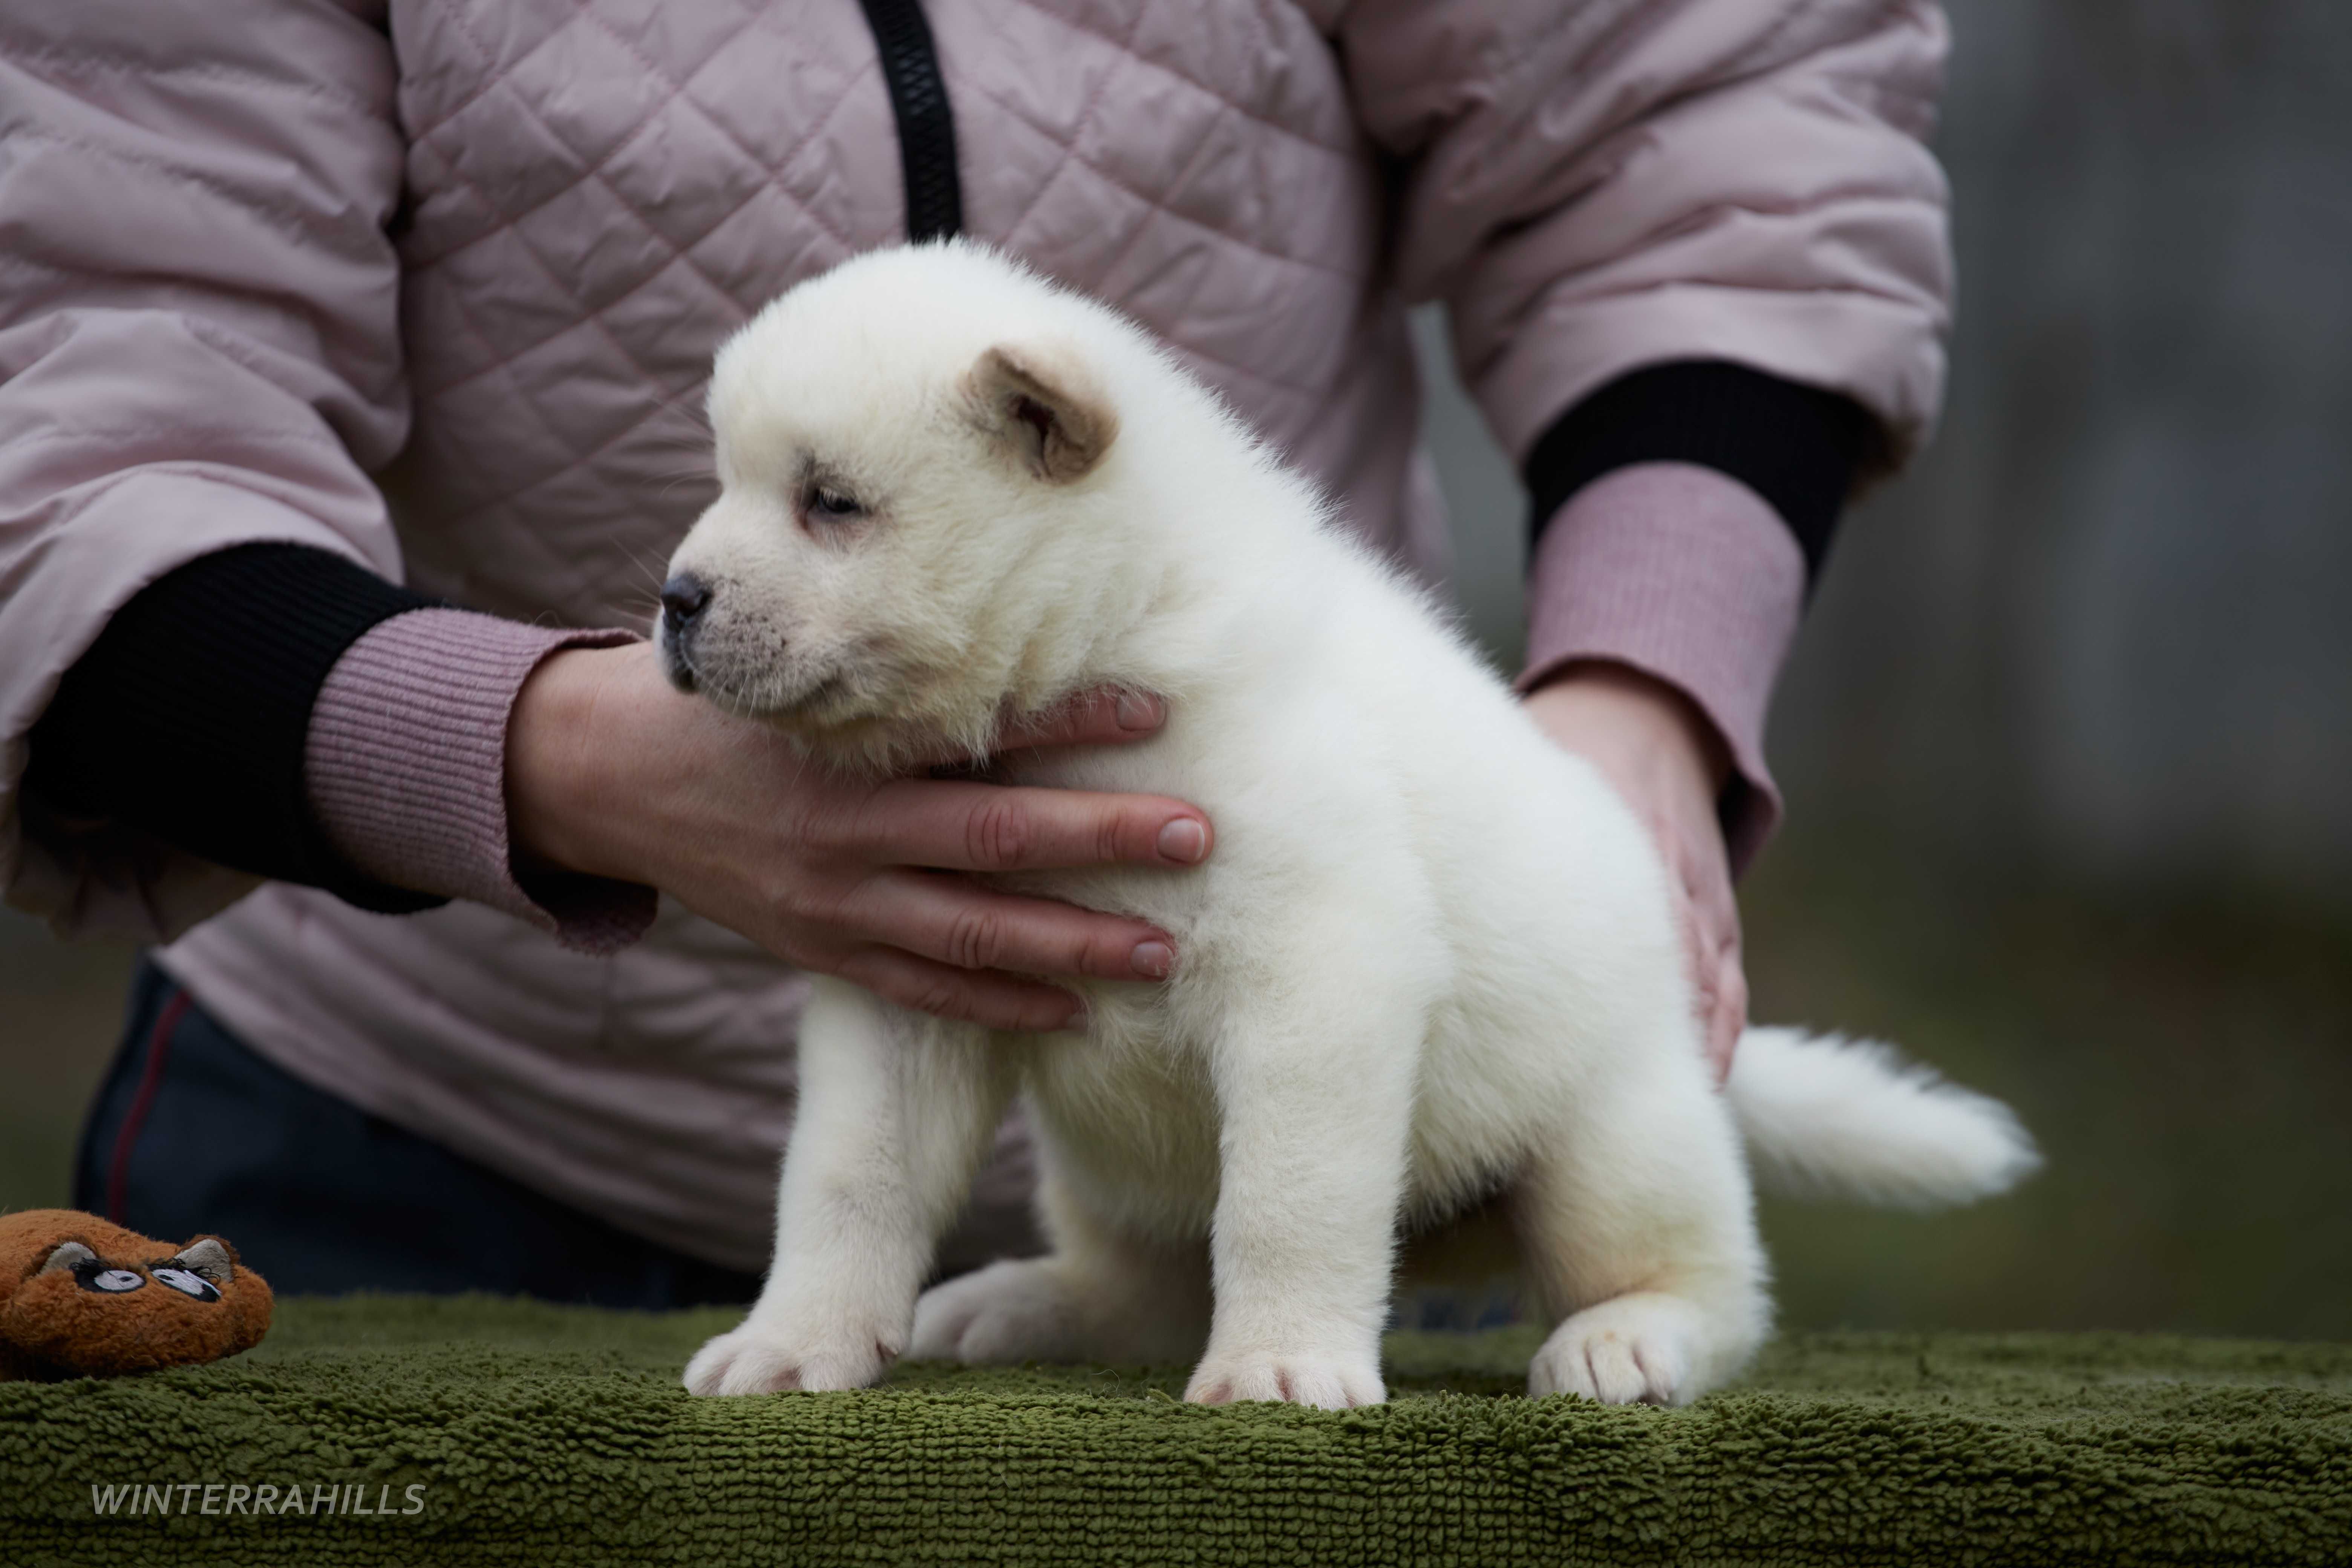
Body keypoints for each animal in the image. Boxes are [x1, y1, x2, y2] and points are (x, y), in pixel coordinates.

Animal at [668, 242, 2041, 1410]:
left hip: (1608, 1140)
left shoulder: (1318, 977)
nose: (676, 600)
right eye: (727, 480)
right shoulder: (902, 991)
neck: (1105, 651)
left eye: (832, 502)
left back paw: (1627, 1340)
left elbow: (1286, 1198)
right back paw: (1026, 1303)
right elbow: (848, 1180)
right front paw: (794, 1344)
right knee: (1142, 1286)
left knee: (1711, 1285)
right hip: (1111, 1175)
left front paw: (1279, 1368)